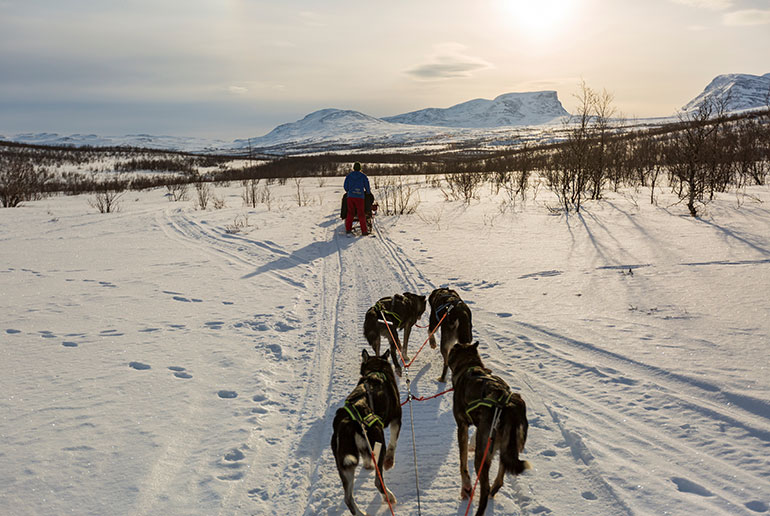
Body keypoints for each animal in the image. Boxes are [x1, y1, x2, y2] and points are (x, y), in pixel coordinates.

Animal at [330, 348, 402, 512]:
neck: (376, 370)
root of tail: (347, 420)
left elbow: (366, 455)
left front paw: (367, 464)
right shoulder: (397, 419)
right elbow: (393, 443)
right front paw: (390, 461)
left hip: (345, 466)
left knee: (348, 498)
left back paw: (361, 512)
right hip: (379, 441)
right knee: (378, 481)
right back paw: (389, 496)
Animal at [444, 340, 528, 512]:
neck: (470, 367)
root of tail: (508, 405)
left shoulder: (462, 426)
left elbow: (463, 464)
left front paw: (466, 487)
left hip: (482, 456)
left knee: (485, 487)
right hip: (505, 445)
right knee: (500, 476)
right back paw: (495, 488)